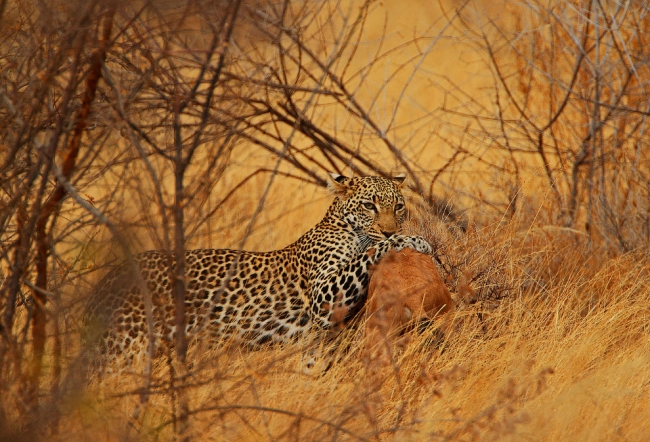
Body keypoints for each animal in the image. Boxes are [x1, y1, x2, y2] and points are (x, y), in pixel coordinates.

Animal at [85, 173, 430, 366]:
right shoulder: (325, 297)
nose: (389, 229)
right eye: (369, 205)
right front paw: (413, 240)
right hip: (122, 349)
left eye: (399, 206)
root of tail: (105, 282)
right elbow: (368, 253)